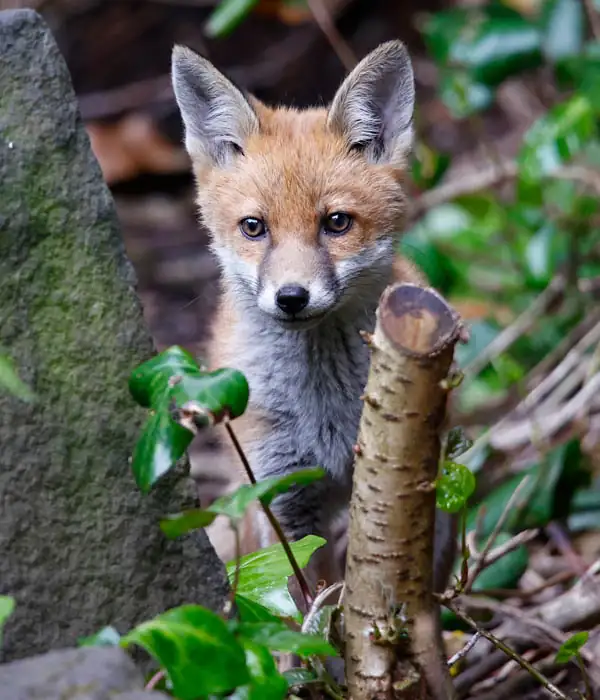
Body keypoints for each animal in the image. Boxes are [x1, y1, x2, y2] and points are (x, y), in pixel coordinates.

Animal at [171, 40, 456, 597]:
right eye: (254, 227)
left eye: (337, 223)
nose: (292, 297)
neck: (323, 411)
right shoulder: (282, 497)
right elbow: (302, 608)